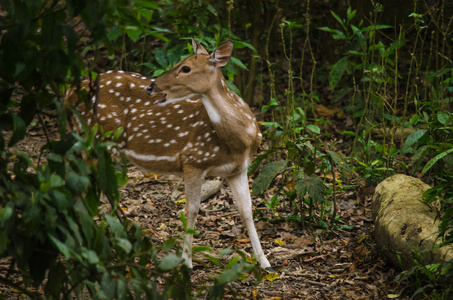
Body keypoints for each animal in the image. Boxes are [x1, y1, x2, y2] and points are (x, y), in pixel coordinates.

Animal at [66, 38, 272, 274]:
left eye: (186, 68)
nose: (151, 86)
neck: (240, 141)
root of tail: (68, 93)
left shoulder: (238, 169)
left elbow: (247, 210)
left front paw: (265, 263)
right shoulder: (193, 160)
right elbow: (191, 210)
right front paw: (187, 264)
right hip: (93, 139)